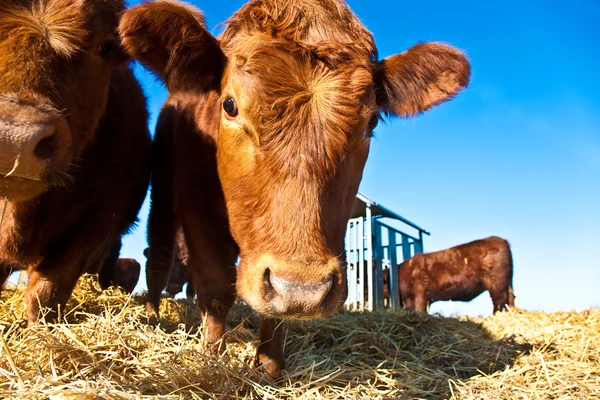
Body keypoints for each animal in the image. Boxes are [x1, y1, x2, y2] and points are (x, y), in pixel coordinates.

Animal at [119, 0, 472, 378]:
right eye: (229, 105)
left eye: (371, 121)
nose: (302, 290)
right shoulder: (195, 203)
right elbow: (215, 286)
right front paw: (212, 356)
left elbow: (274, 314)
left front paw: (269, 366)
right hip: (163, 196)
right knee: (159, 253)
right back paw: (153, 312)